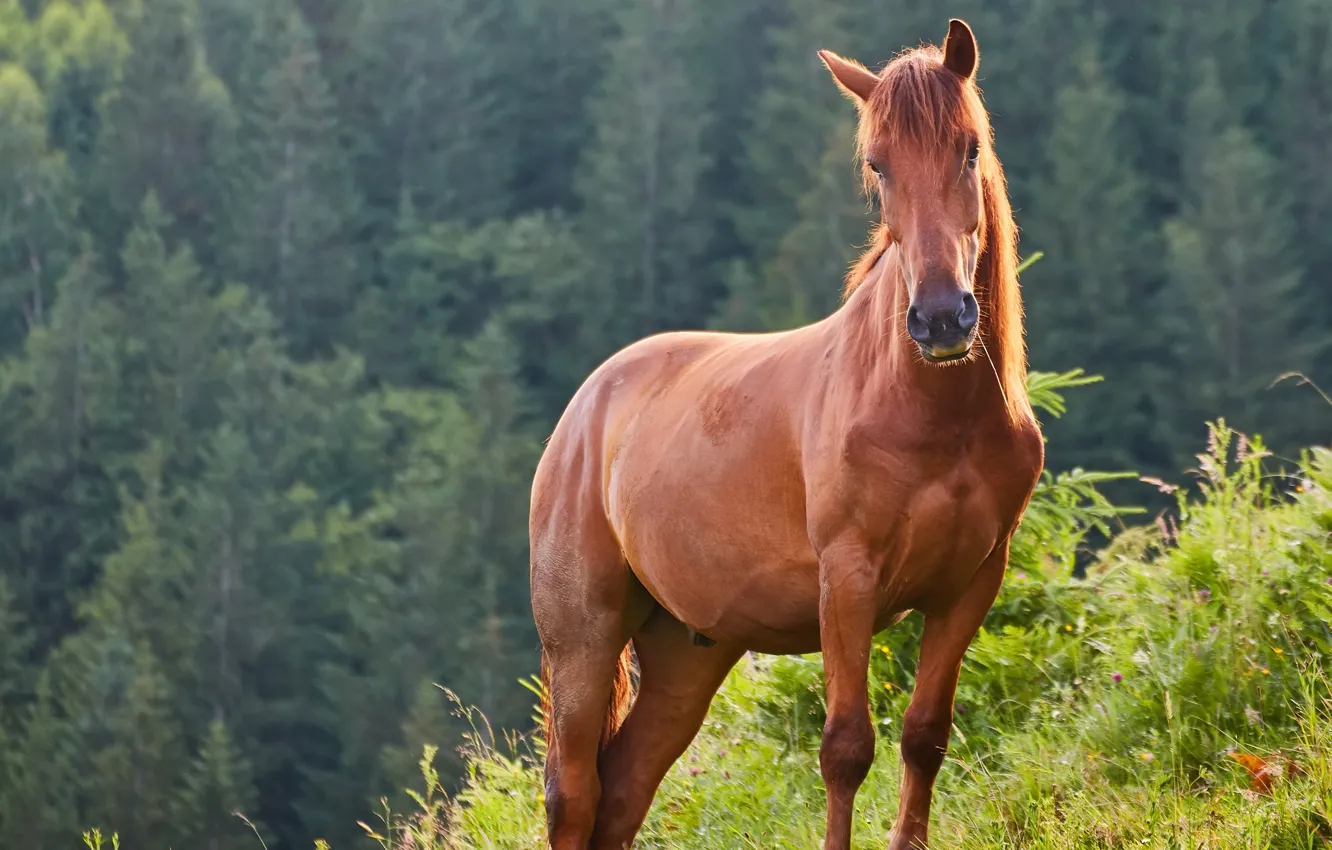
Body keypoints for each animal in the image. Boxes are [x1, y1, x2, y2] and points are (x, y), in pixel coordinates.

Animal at [529, 18, 1044, 850]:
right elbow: (846, 749)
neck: (937, 417)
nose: (941, 318)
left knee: (624, 789)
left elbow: (924, 736)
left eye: (969, 149)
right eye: (877, 164)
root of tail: (583, 412)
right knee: (573, 796)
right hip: (581, 638)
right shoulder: (849, 581)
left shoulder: (969, 585)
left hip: (688, 652)